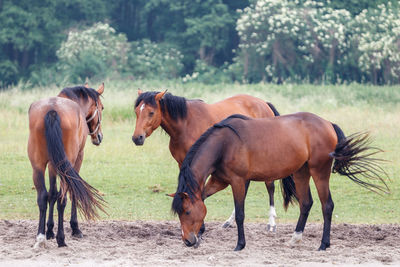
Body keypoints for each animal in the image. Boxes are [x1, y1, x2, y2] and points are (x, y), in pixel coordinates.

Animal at [27, 83, 107, 249]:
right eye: (101, 107)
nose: (99, 136)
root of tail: (52, 110)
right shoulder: (77, 159)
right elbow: (71, 192)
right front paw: (75, 228)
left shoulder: (52, 165)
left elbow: (52, 194)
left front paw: (49, 230)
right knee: (62, 198)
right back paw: (61, 238)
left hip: (38, 166)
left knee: (43, 197)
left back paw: (41, 237)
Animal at [133, 91, 296, 231]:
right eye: (136, 112)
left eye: (151, 112)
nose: (137, 138)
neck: (186, 124)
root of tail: (264, 104)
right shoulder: (184, 164)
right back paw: (230, 221)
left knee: (270, 187)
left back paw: (271, 223)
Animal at [171, 114, 388, 252]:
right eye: (180, 213)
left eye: (187, 212)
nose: (187, 241)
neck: (224, 143)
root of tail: (327, 123)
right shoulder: (219, 181)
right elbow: (202, 198)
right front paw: (201, 233)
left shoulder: (238, 181)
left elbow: (240, 214)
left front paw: (240, 245)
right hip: (301, 172)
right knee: (306, 204)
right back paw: (295, 239)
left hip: (319, 172)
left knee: (327, 205)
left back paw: (323, 244)